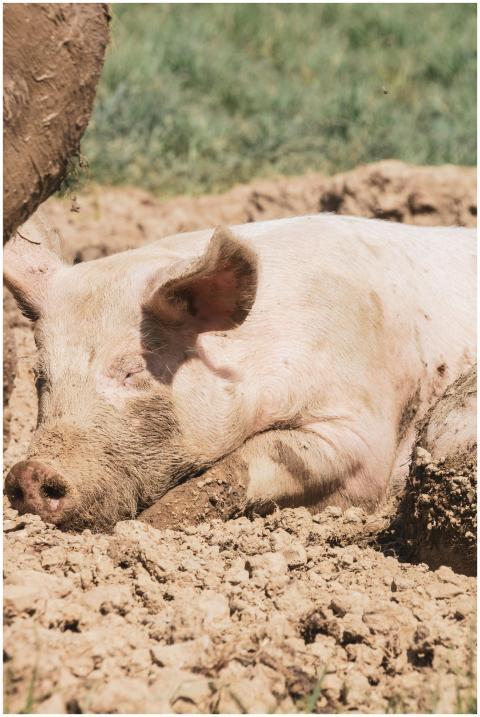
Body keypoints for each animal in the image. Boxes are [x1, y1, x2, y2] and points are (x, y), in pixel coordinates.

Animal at [4, 211, 476, 530]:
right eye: (40, 376)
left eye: (132, 370)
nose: (30, 473)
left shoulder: (364, 429)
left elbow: (247, 462)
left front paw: (147, 526)